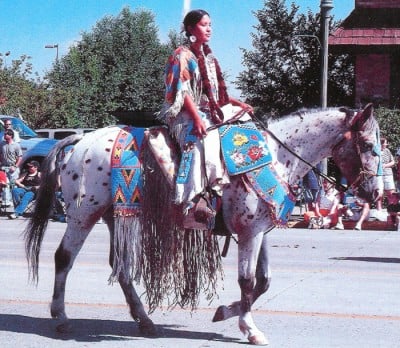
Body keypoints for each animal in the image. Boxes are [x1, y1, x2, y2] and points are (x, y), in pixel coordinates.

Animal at [25, 103, 382, 346]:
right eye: (368, 146)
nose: (376, 193)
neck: (274, 156)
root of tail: (79, 141)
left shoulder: (259, 232)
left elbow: (264, 282)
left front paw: (225, 312)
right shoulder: (249, 233)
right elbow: (248, 281)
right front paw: (249, 328)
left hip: (117, 217)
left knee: (121, 267)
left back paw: (144, 320)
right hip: (84, 214)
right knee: (64, 258)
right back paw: (61, 317)